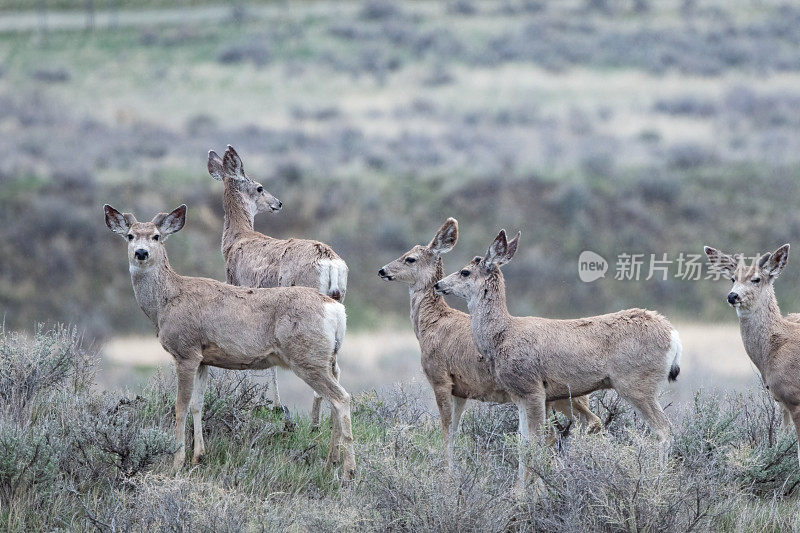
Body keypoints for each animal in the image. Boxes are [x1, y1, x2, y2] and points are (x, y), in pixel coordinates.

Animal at [104, 201, 354, 478]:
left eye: (156, 236)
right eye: (130, 236)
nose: (141, 253)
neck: (165, 301)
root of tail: (335, 309)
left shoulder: (185, 351)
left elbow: (180, 407)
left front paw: (177, 462)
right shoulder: (202, 358)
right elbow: (197, 405)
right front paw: (198, 457)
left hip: (307, 357)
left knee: (341, 398)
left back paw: (349, 470)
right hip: (328, 358)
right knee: (337, 396)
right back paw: (331, 460)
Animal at [206, 144, 346, 424]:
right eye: (260, 187)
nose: (278, 202)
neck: (237, 239)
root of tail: (330, 262)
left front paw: (275, 406)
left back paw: (314, 422)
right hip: (339, 300)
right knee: (335, 365)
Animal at [376, 218, 600, 468]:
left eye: (410, 258)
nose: (382, 270)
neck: (431, 324)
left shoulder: (440, 378)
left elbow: (445, 431)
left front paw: (447, 472)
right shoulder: (460, 390)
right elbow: (454, 431)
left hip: (561, 395)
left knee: (579, 425)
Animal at [434, 229, 684, 490]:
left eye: (464, 271)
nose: (438, 284)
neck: (502, 336)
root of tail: (673, 335)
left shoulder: (532, 388)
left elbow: (534, 443)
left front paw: (526, 493)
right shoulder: (518, 394)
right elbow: (523, 442)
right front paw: (520, 490)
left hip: (636, 384)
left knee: (664, 430)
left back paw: (660, 480)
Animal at [708, 244, 800, 466]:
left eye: (756, 279)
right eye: (733, 278)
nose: (732, 296)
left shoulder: (795, 396)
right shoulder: (782, 400)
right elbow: (782, 441)